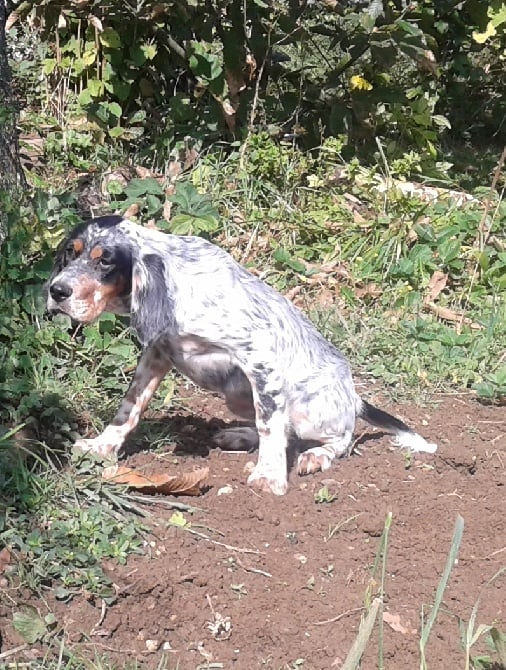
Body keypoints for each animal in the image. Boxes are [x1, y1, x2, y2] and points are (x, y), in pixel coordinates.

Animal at [45, 218, 436, 496]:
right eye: (70, 252)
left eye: (105, 262)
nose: (57, 291)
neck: (179, 286)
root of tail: (353, 396)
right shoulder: (157, 353)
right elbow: (129, 406)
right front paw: (102, 446)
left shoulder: (261, 357)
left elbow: (271, 426)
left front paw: (270, 477)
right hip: (236, 395)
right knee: (286, 431)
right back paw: (239, 437)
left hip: (308, 409)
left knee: (338, 438)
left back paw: (315, 456)